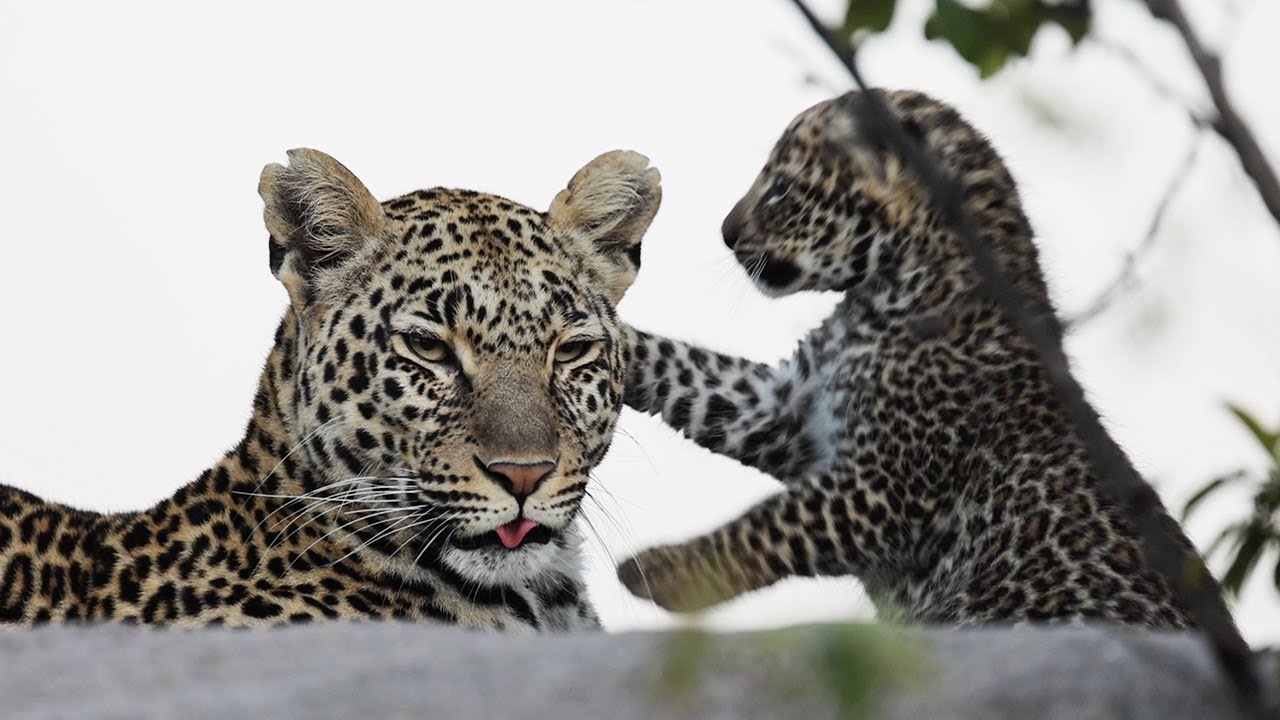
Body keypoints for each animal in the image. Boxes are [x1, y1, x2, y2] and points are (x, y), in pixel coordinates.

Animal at [615, 89, 1221, 629]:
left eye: (781, 188)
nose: (726, 233)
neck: (886, 296)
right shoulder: (786, 409)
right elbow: (682, 367)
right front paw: (602, 329)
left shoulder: (886, 485)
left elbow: (771, 523)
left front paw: (664, 572)